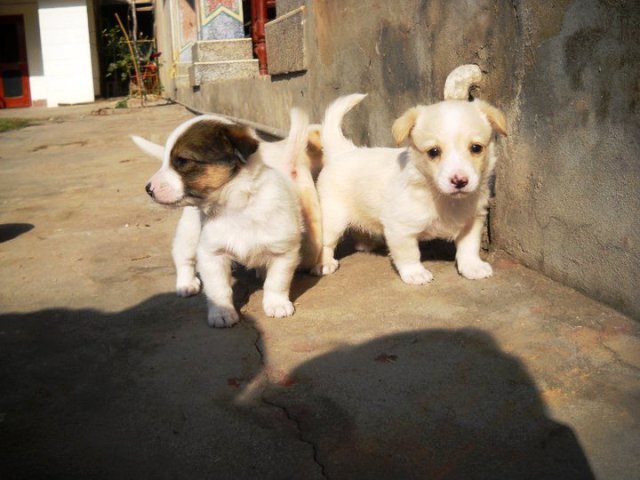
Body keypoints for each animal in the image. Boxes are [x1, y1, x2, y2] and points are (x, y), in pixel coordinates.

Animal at [133, 109, 321, 327]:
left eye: (182, 161)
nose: (148, 189)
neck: (236, 207)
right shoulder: (211, 254)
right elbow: (218, 289)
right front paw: (222, 313)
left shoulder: (283, 252)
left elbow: (277, 283)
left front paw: (277, 304)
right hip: (189, 234)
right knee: (183, 258)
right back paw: (186, 283)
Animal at [313, 66, 507, 285]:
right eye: (433, 152)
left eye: (476, 148)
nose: (459, 181)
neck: (443, 199)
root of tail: (342, 151)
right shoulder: (400, 229)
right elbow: (409, 254)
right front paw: (415, 273)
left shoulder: (472, 222)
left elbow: (469, 248)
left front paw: (472, 267)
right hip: (333, 217)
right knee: (326, 242)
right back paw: (324, 263)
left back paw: (367, 244)